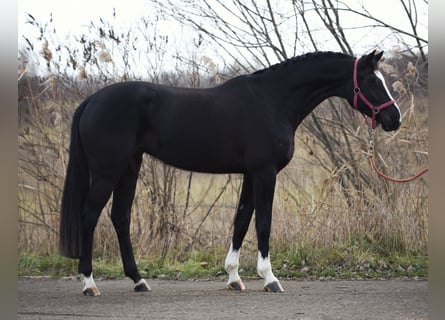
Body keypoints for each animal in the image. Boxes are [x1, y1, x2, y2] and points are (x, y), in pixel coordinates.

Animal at [58, 50, 398, 296]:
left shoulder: (250, 174)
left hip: (129, 168)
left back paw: (139, 281)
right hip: (108, 172)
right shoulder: (265, 173)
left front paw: (234, 277)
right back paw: (89, 284)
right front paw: (270, 279)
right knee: (89, 217)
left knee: (120, 217)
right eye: (372, 81)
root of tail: (91, 101)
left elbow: (241, 221)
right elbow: (263, 224)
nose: (395, 119)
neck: (272, 100)